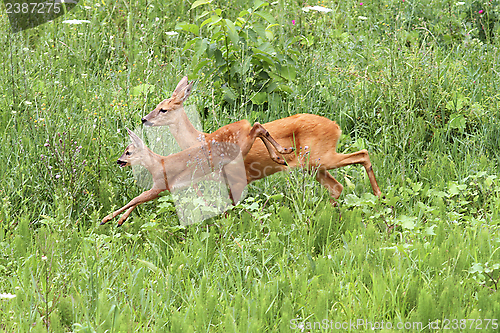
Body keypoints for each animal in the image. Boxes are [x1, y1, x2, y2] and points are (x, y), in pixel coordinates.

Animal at [103, 122, 294, 226]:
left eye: (128, 152)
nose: (119, 161)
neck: (158, 164)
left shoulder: (160, 186)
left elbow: (135, 199)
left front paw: (105, 219)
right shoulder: (161, 188)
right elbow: (138, 200)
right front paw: (120, 221)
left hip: (242, 148)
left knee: (256, 129)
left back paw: (282, 153)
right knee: (258, 127)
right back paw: (282, 155)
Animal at [142, 77, 382, 202]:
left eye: (163, 109)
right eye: (156, 106)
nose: (144, 119)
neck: (201, 140)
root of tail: (336, 127)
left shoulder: (239, 178)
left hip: (321, 156)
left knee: (363, 154)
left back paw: (378, 195)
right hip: (314, 165)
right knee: (337, 187)